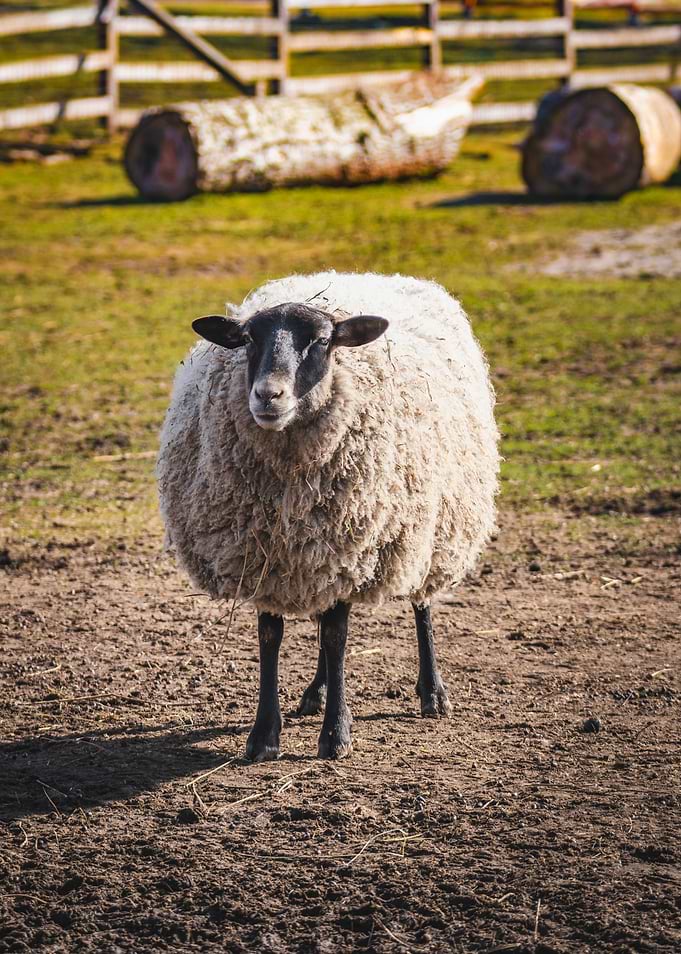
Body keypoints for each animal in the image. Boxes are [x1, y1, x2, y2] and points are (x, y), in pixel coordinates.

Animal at [157, 271, 499, 760]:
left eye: (321, 341)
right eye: (248, 339)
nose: (268, 395)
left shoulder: (348, 546)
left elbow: (337, 638)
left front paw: (336, 734)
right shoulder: (268, 558)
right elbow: (271, 637)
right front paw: (264, 735)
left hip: (432, 531)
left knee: (421, 603)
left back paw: (431, 692)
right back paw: (315, 692)